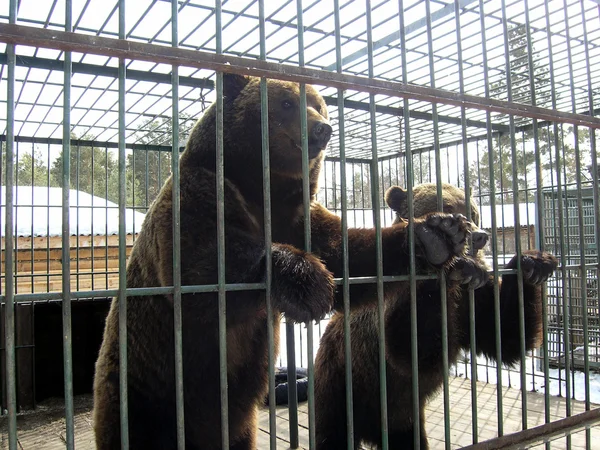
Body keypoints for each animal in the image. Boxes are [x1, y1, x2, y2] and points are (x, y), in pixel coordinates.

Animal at [94, 74, 476, 450]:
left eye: (319, 104)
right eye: (288, 102)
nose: (323, 129)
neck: (261, 189)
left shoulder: (297, 216)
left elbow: (349, 254)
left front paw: (435, 236)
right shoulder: (200, 194)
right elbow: (200, 266)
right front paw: (307, 283)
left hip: (236, 422)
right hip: (147, 392)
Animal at [314, 183, 556, 450]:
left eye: (473, 212)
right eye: (448, 207)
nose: (480, 236)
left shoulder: (474, 304)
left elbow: (504, 337)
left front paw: (534, 262)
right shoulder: (386, 308)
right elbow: (412, 349)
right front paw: (440, 250)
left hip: (405, 421)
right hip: (342, 385)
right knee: (333, 432)